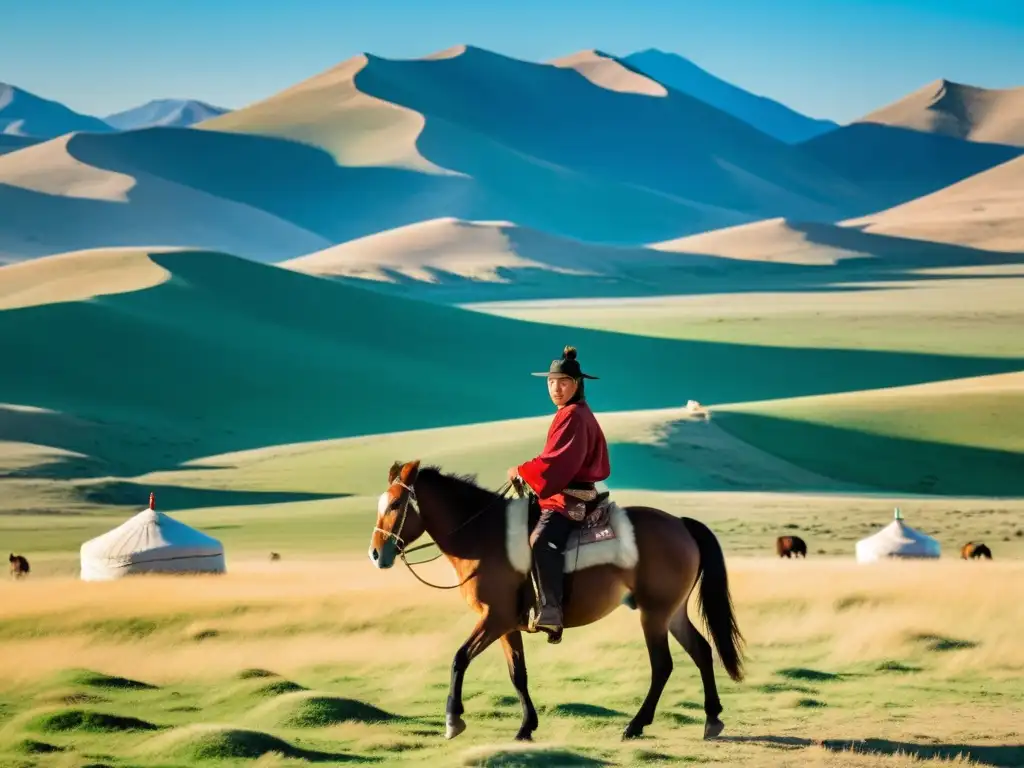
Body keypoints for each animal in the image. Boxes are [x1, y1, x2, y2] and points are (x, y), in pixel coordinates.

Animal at [368, 462, 745, 745]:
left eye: (396, 505)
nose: (375, 553)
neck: (482, 536)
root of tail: (681, 524)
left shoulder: (494, 619)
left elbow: (459, 658)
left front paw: (452, 720)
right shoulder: (507, 626)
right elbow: (517, 674)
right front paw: (525, 727)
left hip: (653, 615)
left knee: (662, 666)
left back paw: (635, 725)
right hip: (672, 612)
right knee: (701, 650)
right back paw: (712, 718)